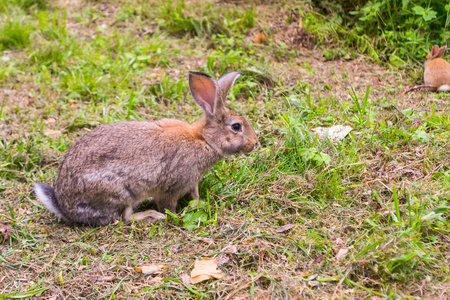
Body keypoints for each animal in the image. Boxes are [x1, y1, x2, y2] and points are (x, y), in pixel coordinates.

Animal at [33, 71, 258, 226]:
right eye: (236, 127)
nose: (254, 143)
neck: (204, 140)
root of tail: (65, 207)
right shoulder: (172, 186)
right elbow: (168, 205)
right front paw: (174, 216)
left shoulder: (192, 181)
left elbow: (194, 195)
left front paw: (200, 202)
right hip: (119, 192)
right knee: (124, 218)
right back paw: (151, 216)